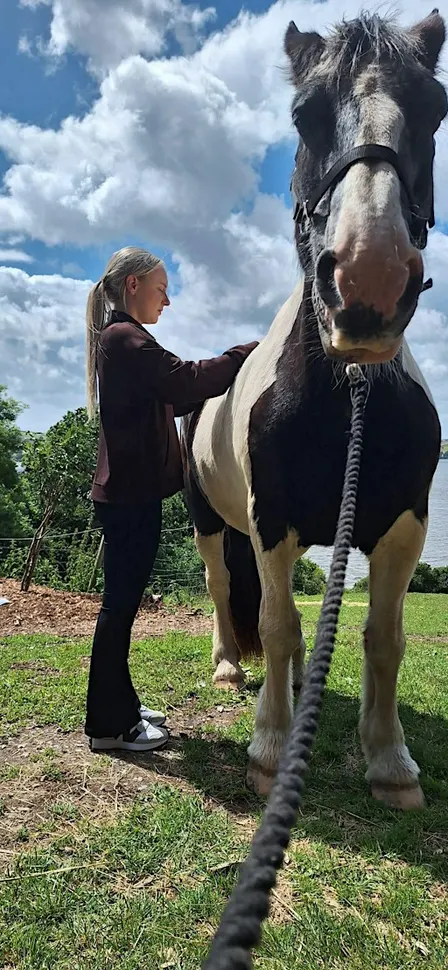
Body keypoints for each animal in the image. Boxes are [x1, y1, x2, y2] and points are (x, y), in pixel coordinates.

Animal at [181, 11, 447, 811]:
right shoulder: (270, 522)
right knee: (225, 592)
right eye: (304, 115)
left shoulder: (402, 526)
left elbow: (382, 639)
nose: (368, 278)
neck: (346, 396)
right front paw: (270, 749)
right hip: (212, 525)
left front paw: (389, 759)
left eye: (435, 110)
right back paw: (233, 669)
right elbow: (274, 622)